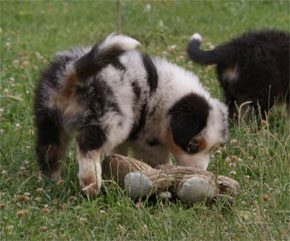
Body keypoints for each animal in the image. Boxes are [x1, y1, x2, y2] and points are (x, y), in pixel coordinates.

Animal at [34, 33, 228, 196]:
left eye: (212, 148)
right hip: (110, 120)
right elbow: (159, 160)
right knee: (87, 145)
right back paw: (91, 183)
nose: (202, 171)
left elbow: (118, 152)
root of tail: (72, 73)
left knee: (49, 149)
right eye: (192, 147)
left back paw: (51, 180)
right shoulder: (149, 141)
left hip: (49, 119)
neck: (167, 98)